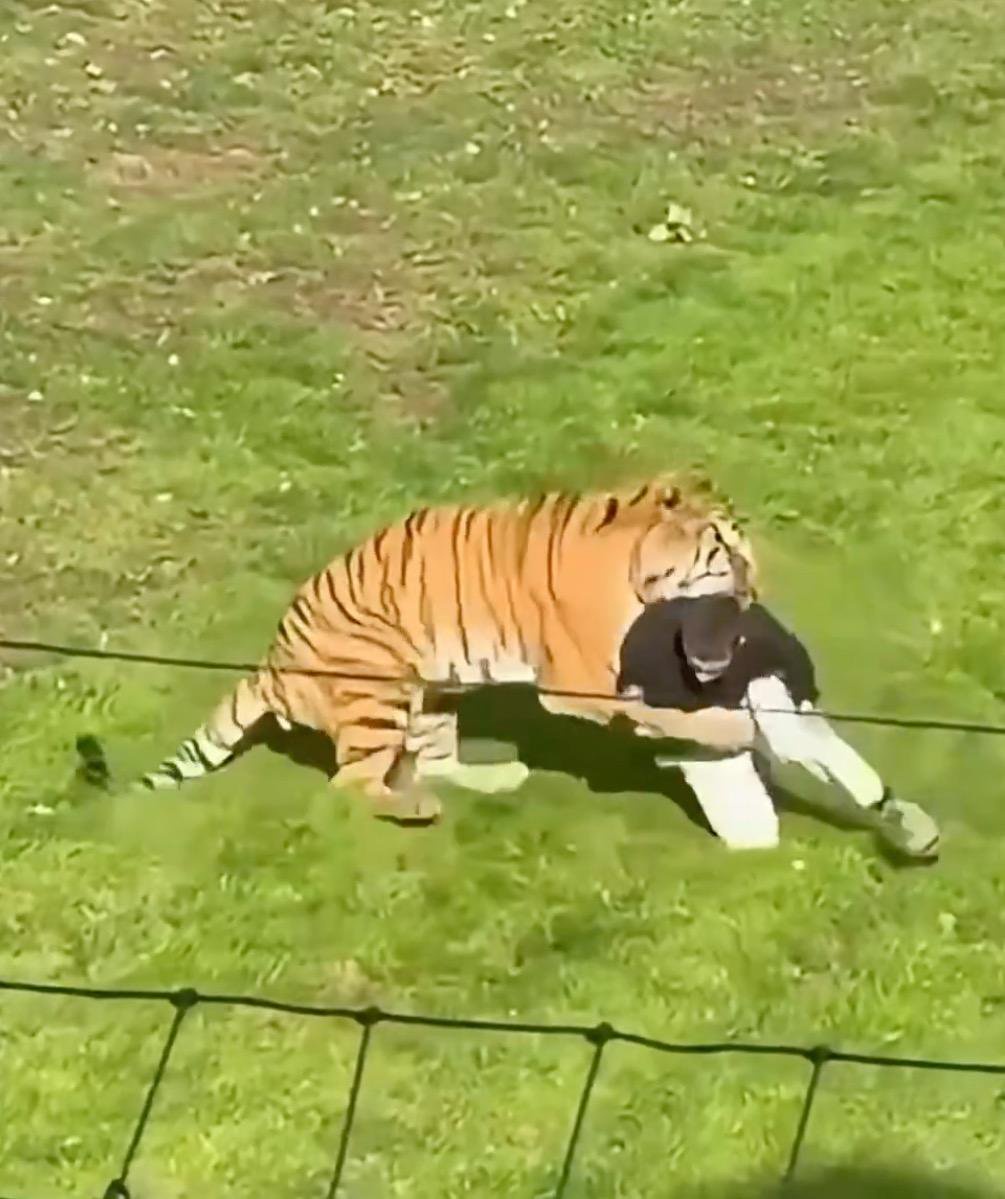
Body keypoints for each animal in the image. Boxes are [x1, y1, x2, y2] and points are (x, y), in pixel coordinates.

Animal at [141, 476, 759, 822]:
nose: (755, 594)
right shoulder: (586, 682)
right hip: (379, 686)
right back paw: (415, 809)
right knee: (351, 783)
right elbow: (667, 712)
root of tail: (269, 665)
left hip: (435, 692)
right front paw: (735, 731)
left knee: (434, 762)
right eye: (729, 554)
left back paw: (498, 776)